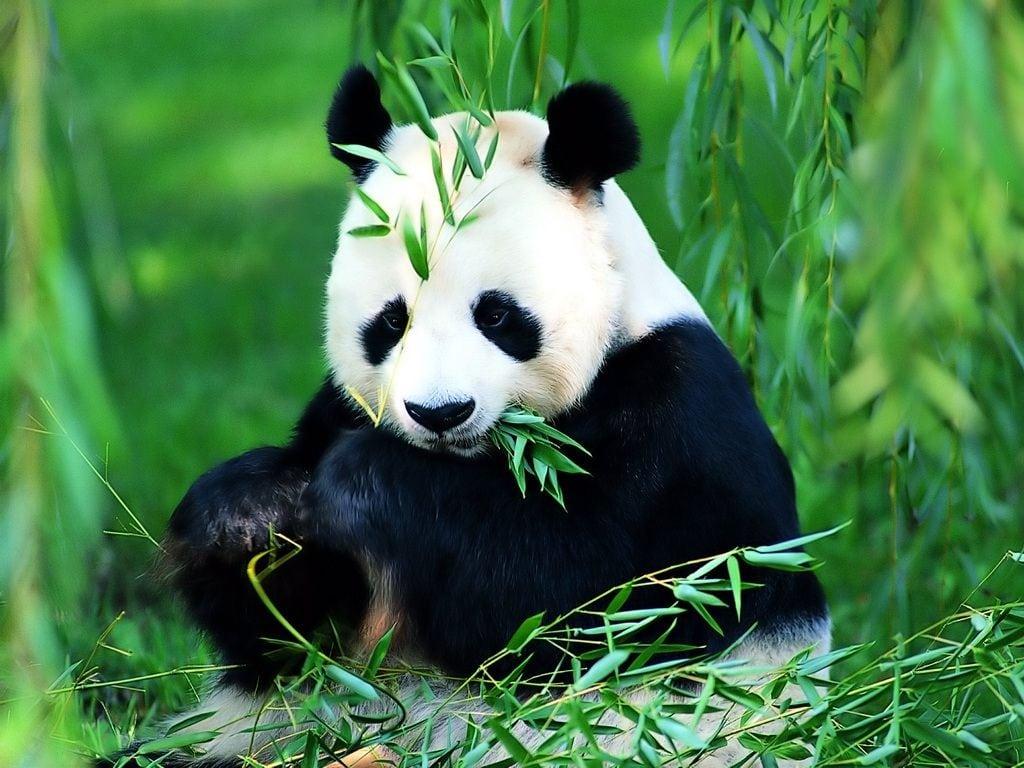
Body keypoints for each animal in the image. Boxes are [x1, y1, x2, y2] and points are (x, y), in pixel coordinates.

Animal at [101, 65, 830, 767]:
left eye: (497, 314)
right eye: (391, 321)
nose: (440, 413)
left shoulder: (680, 423)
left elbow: (581, 600)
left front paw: (364, 481)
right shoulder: (338, 408)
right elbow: (288, 639)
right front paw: (249, 512)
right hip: (256, 734)